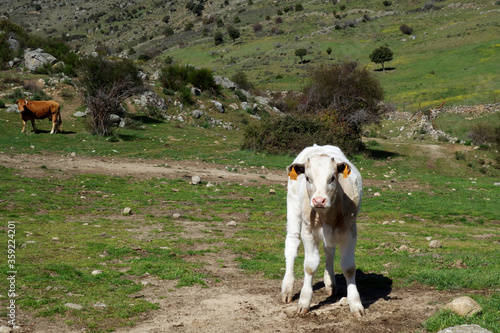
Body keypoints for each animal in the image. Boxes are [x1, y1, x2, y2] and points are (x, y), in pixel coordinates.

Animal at [282, 145, 364, 316]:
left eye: (332, 178)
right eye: (308, 178)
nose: (319, 200)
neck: (327, 215)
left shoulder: (350, 231)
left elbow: (349, 268)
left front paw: (355, 304)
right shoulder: (308, 231)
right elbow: (310, 266)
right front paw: (304, 301)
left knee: (329, 251)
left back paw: (330, 283)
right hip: (293, 207)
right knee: (292, 245)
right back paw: (287, 289)